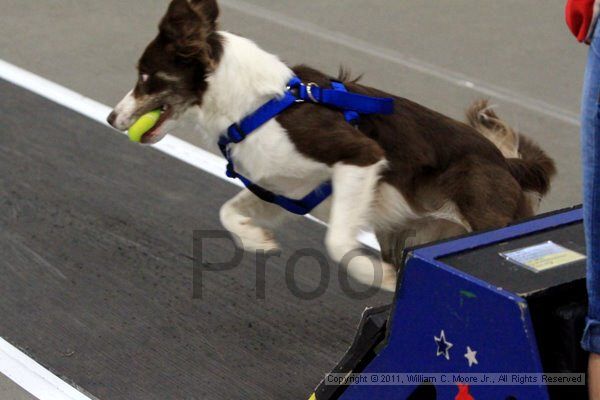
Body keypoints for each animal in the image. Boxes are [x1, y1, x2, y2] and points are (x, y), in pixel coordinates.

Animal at [108, 0, 556, 294]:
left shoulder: (359, 156)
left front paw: (376, 276)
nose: (112, 119)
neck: (253, 104)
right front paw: (256, 240)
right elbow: (228, 212)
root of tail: (506, 163)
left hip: (487, 218)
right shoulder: (283, 187)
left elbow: (337, 241)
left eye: (146, 77)